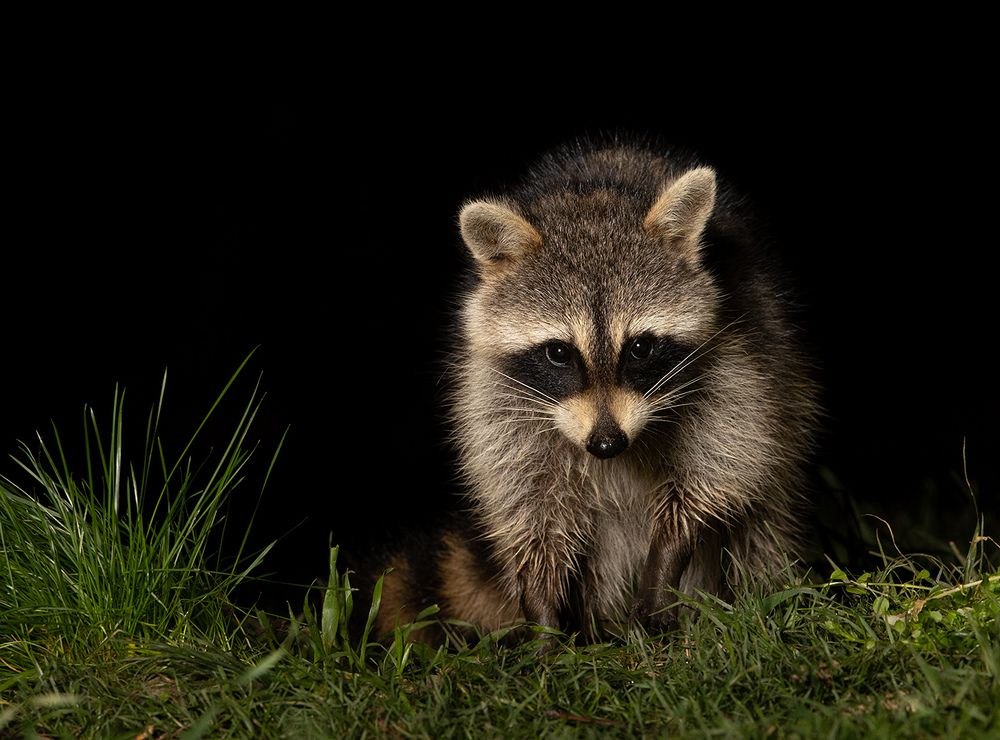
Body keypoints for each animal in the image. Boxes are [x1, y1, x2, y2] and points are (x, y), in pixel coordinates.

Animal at [364, 140, 819, 643]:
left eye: (640, 347)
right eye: (559, 352)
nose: (606, 443)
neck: (594, 200)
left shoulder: (736, 358)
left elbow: (720, 467)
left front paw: (667, 559)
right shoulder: (495, 390)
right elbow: (526, 499)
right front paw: (542, 612)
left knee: (760, 526)